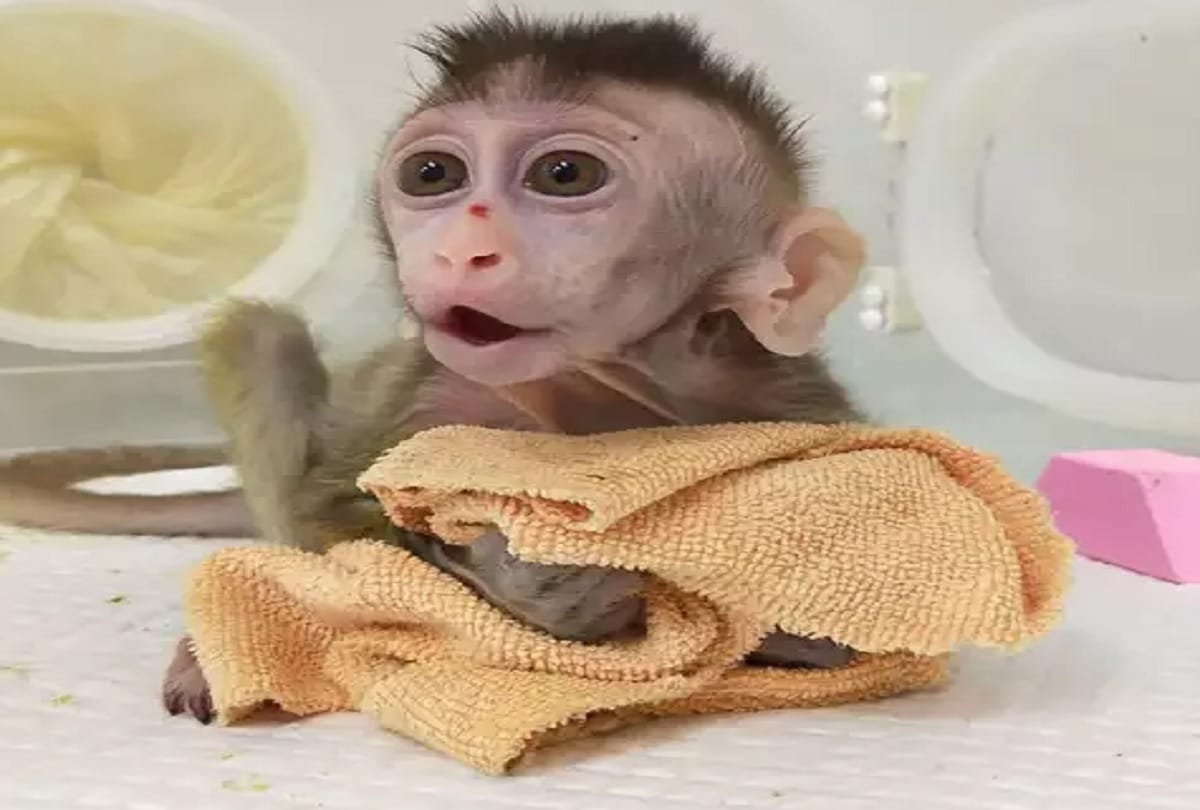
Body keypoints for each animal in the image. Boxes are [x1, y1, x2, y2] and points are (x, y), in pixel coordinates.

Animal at [0, 11, 869, 724]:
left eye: (564, 175)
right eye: (433, 176)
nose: (460, 248)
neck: (592, 389)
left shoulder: (790, 399)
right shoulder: (428, 399)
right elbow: (344, 536)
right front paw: (553, 599)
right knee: (263, 338)